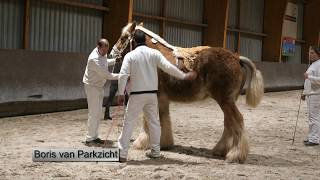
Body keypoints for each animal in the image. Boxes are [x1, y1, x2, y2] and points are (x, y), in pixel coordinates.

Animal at [111, 21, 264, 162]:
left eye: (123, 37)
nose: (113, 53)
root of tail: (237, 58)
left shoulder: (153, 97)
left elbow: (148, 121)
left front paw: (141, 143)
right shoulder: (162, 100)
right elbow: (164, 120)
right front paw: (165, 143)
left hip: (226, 101)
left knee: (237, 121)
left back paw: (236, 154)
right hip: (228, 102)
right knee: (229, 123)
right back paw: (220, 150)